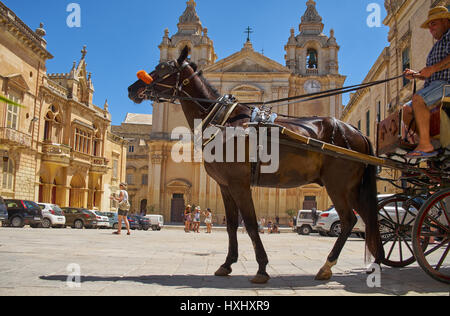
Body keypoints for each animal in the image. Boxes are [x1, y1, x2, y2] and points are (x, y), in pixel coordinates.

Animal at [127, 46, 384, 284]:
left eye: (164, 68)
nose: (132, 89)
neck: (224, 120)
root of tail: (357, 132)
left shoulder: (240, 184)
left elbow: (250, 224)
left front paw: (261, 268)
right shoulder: (224, 186)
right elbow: (232, 225)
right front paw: (227, 264)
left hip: (338, 187)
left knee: (349, 220)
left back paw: (328, 266)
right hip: (353, 189)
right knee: (367, 218)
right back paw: (375, 263)